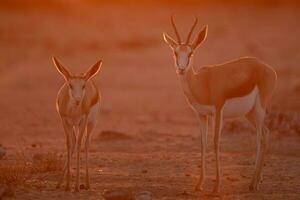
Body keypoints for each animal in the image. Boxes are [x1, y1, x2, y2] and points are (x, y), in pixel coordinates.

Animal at [52, 57, 102, 191]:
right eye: (70, 85)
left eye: (83, 86)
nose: (78, 100)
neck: (73, 111)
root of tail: (85, 75)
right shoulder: (64, 121)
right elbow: (69, 144)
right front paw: (67, 185)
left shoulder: (82, 121)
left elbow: (80, 145)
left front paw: (76, 187)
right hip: (73, 125)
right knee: (74, 142)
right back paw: (59, 183)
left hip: (91, 123)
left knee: (86, 143)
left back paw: (87, 183)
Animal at [163, 17, 278, 194]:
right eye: (175, 53)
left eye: (190, 53)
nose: (181, 69)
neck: (202, 83)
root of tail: (269, 69)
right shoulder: (201, 114)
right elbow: (203, 143)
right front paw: (199, 184)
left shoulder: (218, 110)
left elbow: (216, 141)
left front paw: (216, 186)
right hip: (249, 113)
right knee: (266, 133)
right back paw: (256, 182)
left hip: (259, 109)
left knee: (260, 137)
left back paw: (252, 184)